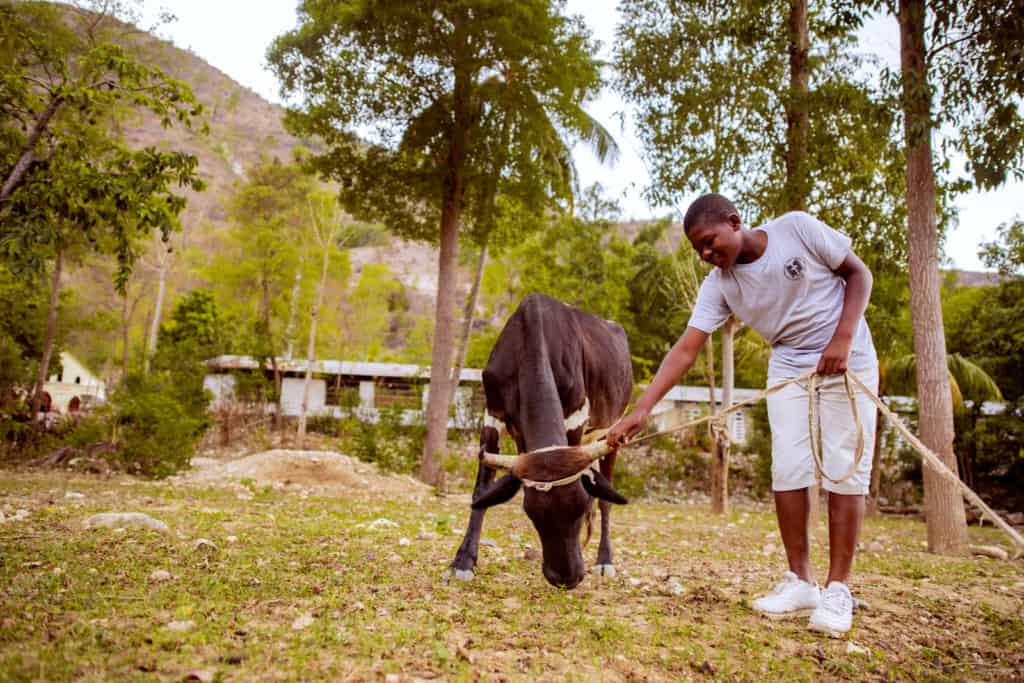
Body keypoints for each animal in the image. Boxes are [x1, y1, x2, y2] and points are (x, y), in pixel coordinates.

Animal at [448, 294, 630, 589]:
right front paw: (463, 561)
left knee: (605, 498)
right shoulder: (493, 414)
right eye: (531, 513)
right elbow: (481, 491)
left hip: (610, 430)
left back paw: (604, 560)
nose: (566, 578)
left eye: (579, 508)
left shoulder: (575, 419)